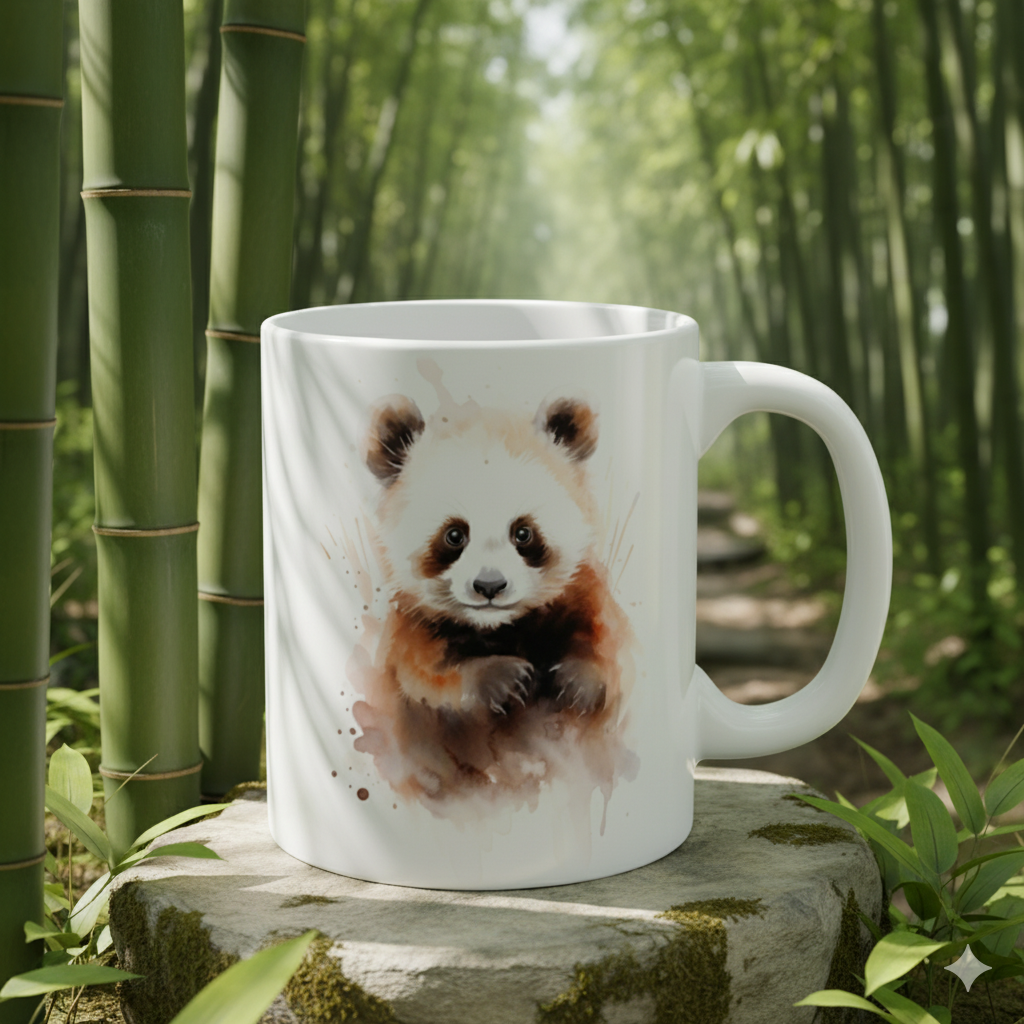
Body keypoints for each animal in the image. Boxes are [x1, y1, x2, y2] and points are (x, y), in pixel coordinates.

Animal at [361, 393, 629, 757]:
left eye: (523, 533)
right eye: (455, 535)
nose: (490, 586)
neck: (501, 628)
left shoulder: (581, 592)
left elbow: (610, 640)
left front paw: (579, 682)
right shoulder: (414, 626)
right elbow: (423, 674)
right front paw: (502, 679)